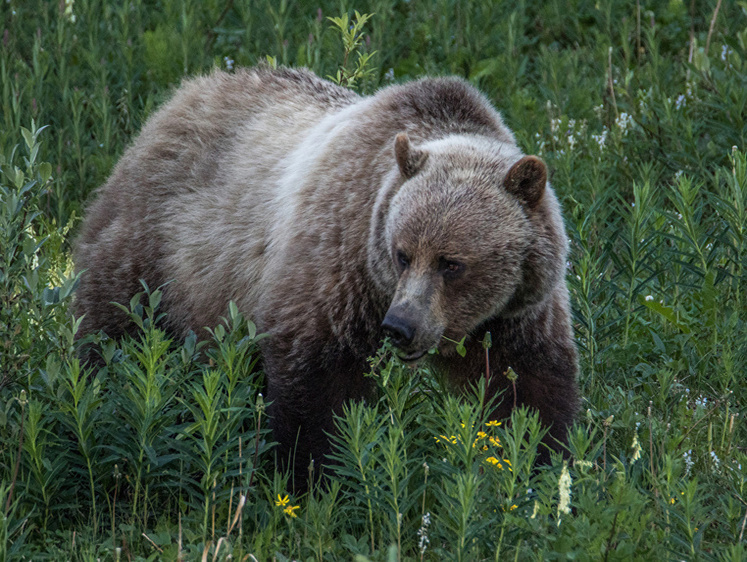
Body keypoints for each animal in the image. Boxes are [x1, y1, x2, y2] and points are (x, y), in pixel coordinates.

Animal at [74, 65, 580, 486]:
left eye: (451, 263)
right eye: (402, 254)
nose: (400, 326)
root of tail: (180, 95)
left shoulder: (520, 309)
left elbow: (529, 387)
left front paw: (538, 465)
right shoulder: (338, 262)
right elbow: (318, 381)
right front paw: (316, 478)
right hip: (159, 246)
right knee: (115, 323)